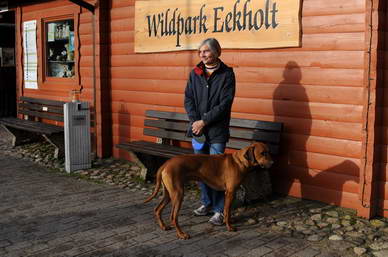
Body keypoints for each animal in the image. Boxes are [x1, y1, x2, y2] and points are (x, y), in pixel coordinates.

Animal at [143, 141, 272, 239]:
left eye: (269, 152)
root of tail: (165, 164)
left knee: (157, 209)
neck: (239, 161)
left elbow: (227, 211)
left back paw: (163, 227)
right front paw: (229, 227)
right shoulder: (230, 192)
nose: (273, 162)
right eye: (262, 153)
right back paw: (181, 234)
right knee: (173, 217)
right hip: (178, 194)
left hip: (169, 194)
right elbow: (227, 211)